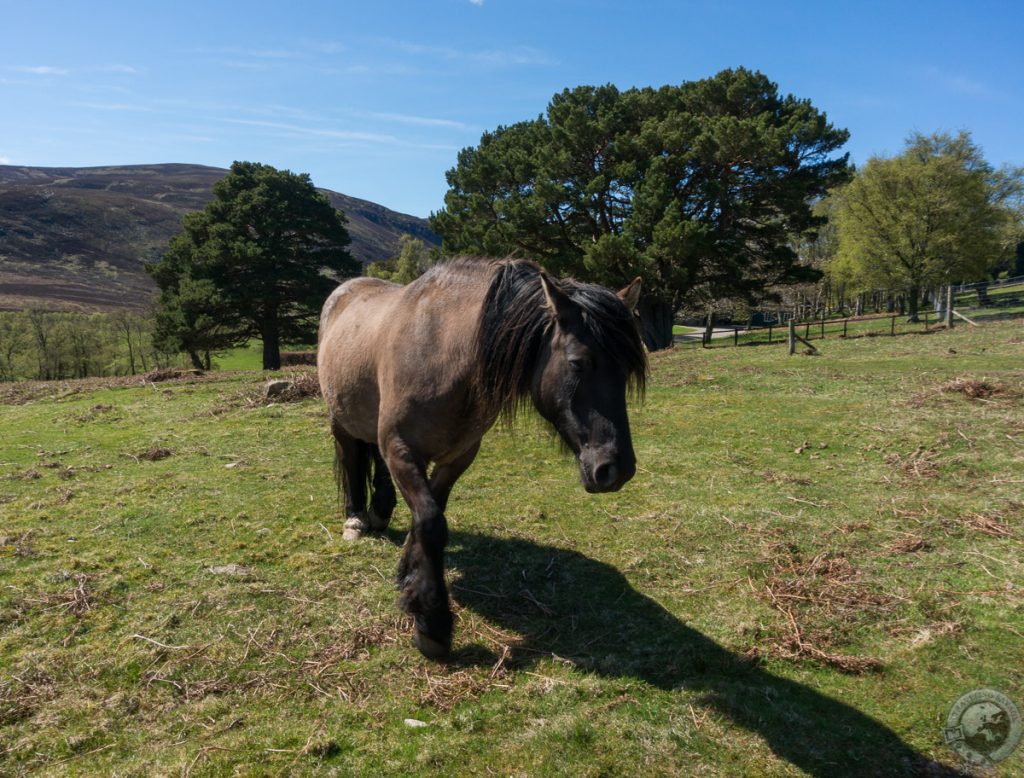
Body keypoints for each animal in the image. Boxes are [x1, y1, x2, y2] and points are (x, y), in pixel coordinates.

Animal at [315, 260, 643, 655]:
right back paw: (355, 519)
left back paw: (379, 512)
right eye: (579, 362)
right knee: (351, 460)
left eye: (626, 369)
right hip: (340, 421)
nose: (616, 469)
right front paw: (432, 623)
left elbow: (429, 516)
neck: (442, 351)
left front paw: (409, 576)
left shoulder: (457, 458)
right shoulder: (401, 449)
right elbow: (430, 521)